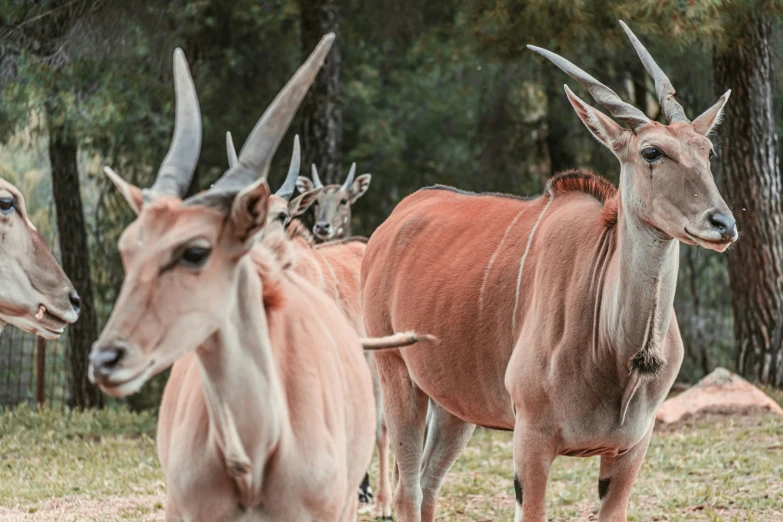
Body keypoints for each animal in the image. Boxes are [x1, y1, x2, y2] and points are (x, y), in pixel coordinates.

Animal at [362, 21, 740, 520]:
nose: (723, 224)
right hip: (397, 377)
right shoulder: (532, 440)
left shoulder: (631, 449)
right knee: (408, 490)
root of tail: (394, 221)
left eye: (708, 150)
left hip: (455, 407)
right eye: (651, 152)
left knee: (428, 484)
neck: (618, 354)